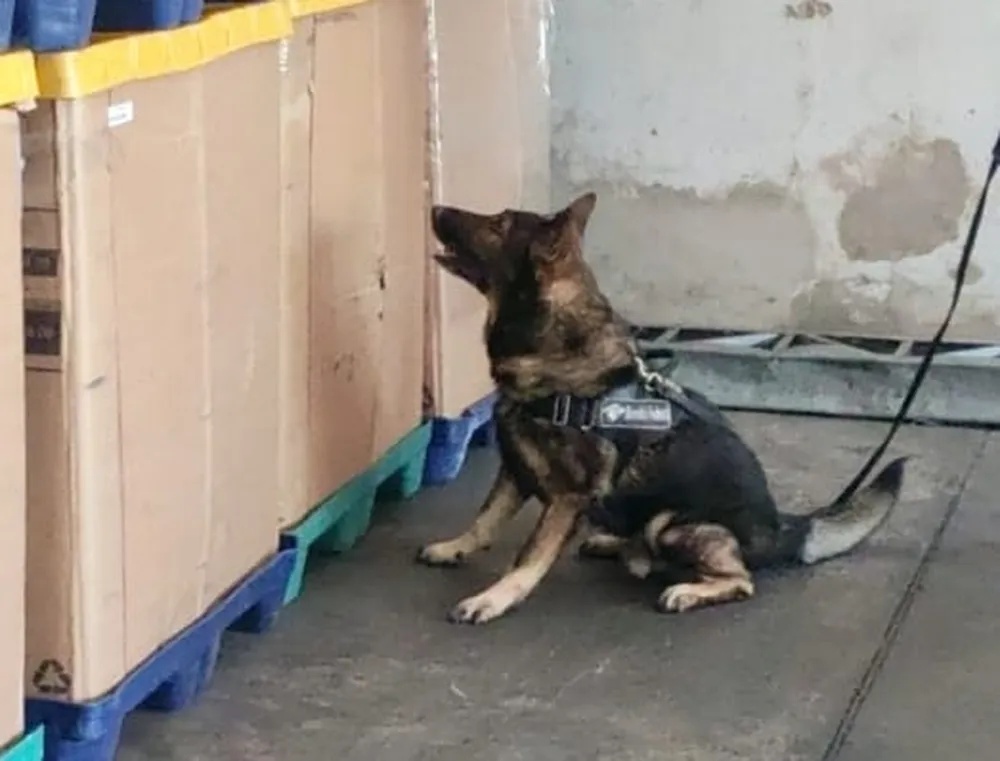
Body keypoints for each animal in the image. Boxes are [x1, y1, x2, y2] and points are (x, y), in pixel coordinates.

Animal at [418, 191, 912, 624]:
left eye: (499, 224)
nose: (435, 207)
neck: (557, 350)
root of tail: (783, 529)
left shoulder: (566, 498)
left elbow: (526, 557)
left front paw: (493, 599)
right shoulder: (516, 471)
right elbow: (485, 519)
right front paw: (454, 547)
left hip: (670, 525)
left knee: (741, 579)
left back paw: (688, 590)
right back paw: (612, 542)